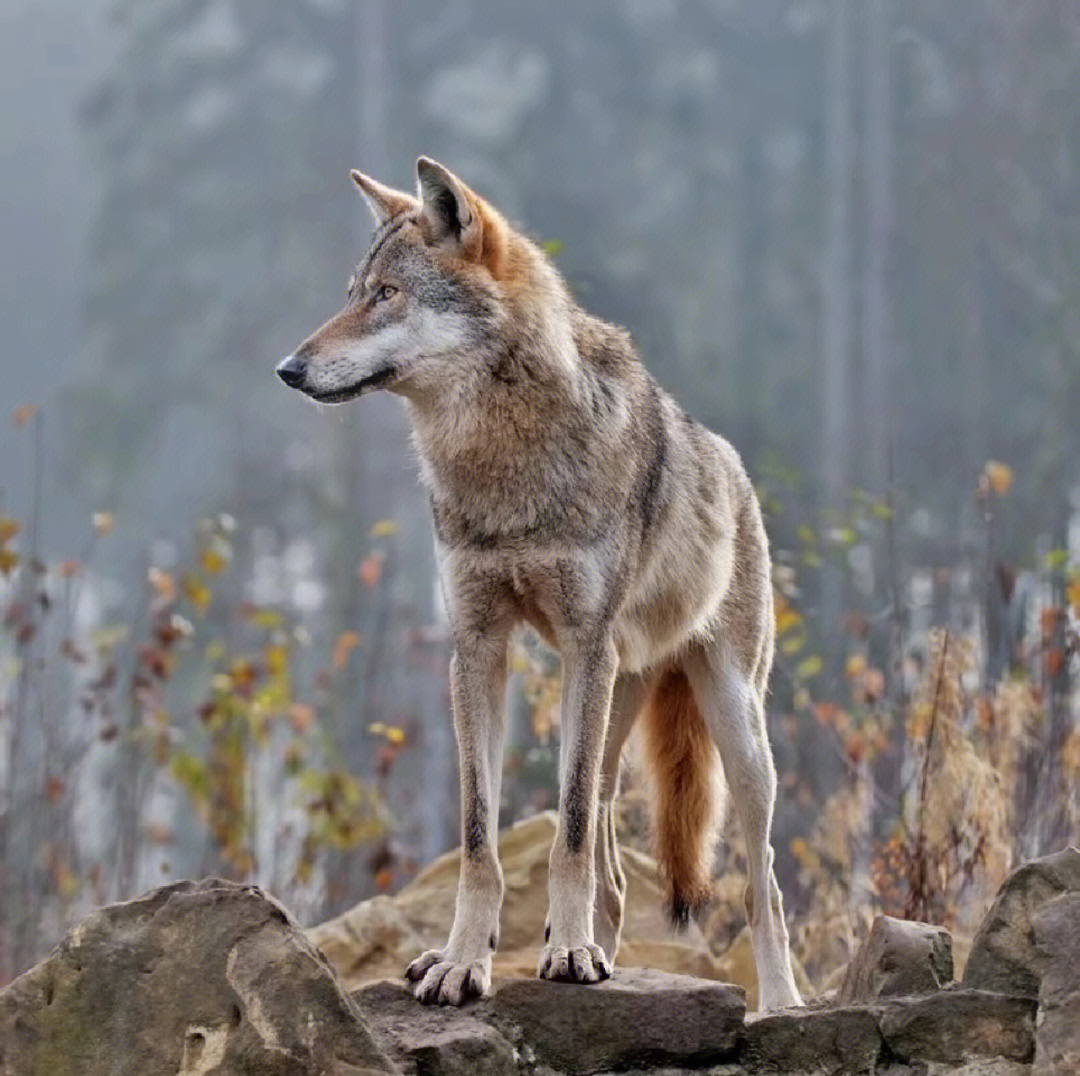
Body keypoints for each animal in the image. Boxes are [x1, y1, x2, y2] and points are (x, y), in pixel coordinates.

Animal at [278, 157, 803, 1006]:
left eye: (387, 294)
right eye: (354, 291)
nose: (287, 369)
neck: (501, 462)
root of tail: (731, 463)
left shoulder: (585, 646)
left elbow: (568, 836)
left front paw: (564, 955)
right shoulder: (477, 648)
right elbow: (480, 839)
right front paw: (461, 962)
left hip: (732, 727)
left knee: (762, 881)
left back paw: (777, 1001)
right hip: (609, 709)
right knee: (615, 871)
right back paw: (592, 951)